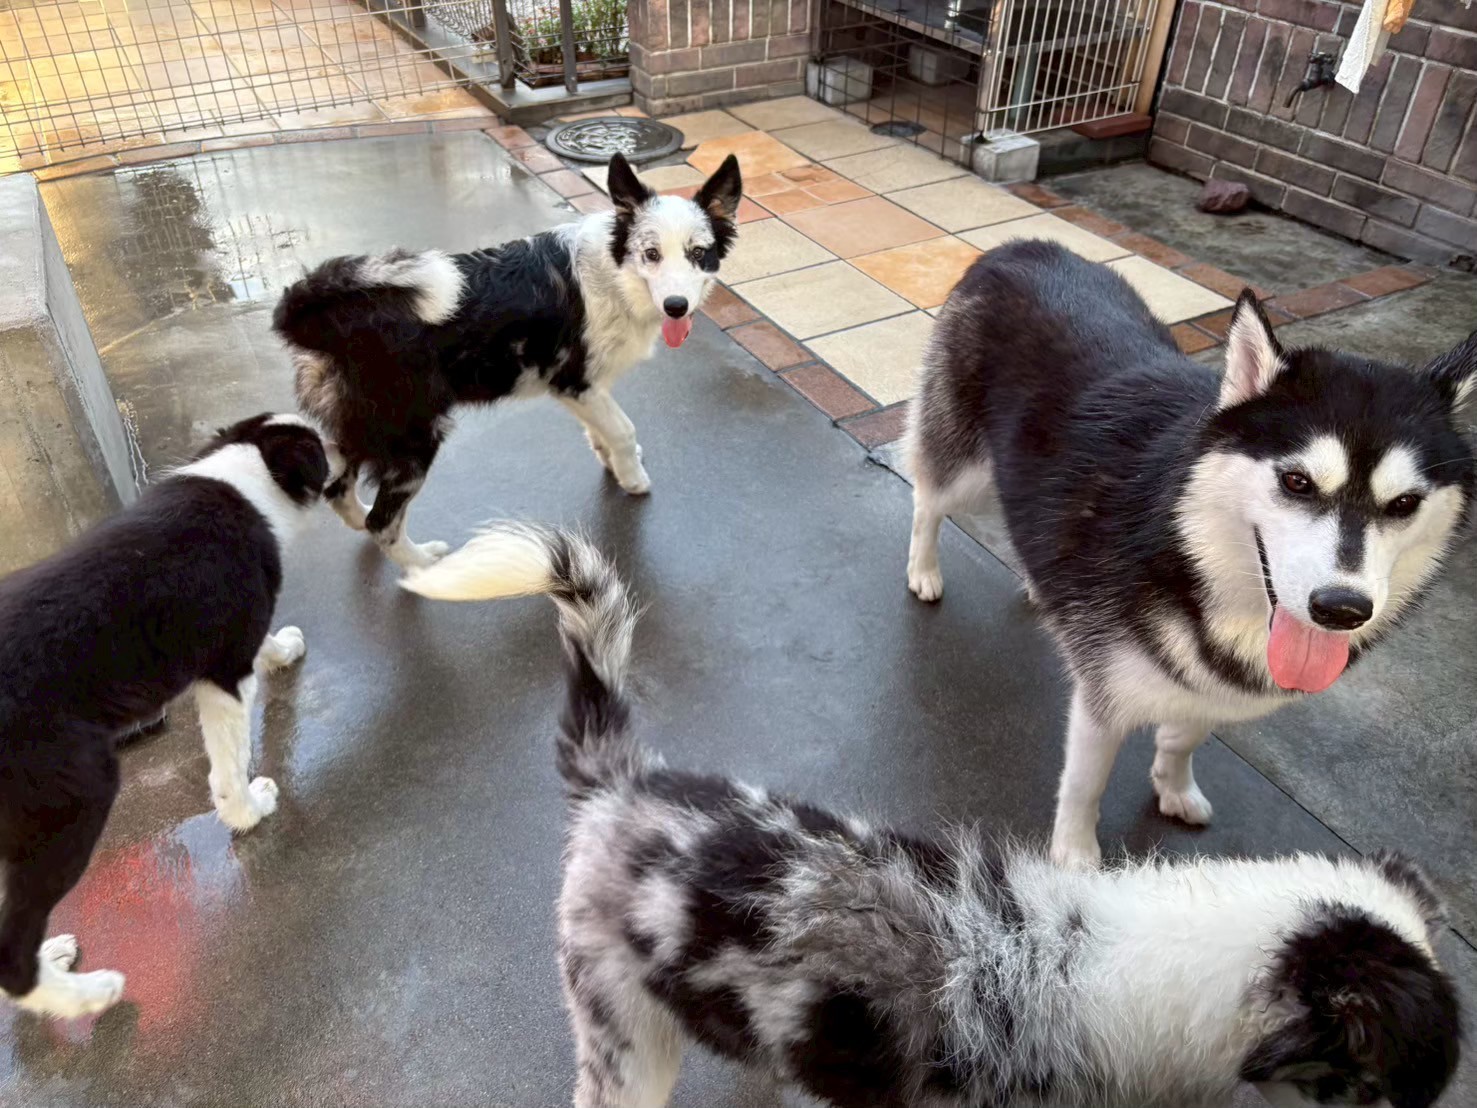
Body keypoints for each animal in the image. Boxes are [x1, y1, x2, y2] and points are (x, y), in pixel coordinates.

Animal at [0, 413, 326, 1019]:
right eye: (319, 445)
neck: (241, 476)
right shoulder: (224, 671)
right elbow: (228, 769)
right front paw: (248, 812)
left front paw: (281, 650)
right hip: (72, 800)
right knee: (11, 952)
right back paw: (87, 996)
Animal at [272, 151, 743, 572]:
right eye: (651, 254)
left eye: (698, 253)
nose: (677, 306)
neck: (614, 274)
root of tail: (326, 311)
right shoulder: (576, 380)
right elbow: (624, 430)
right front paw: (632, 478)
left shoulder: (576, 388)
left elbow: (603, 430)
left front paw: (611, 461)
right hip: (414, 440)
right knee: (383, 523)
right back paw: (422, 565)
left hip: (363, 426)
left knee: (338, 490)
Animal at [905, 240, 1477, 868]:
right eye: (1297, 481)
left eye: (1404, 503)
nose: (1341, 608)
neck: (1183, 543)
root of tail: (1024, 246)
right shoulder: (1104, 695)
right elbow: (1087, 780)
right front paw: (1076, 855)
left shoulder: (1211, 690)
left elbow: (1185, 735)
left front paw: (1174, 786)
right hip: (968, 471)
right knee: (927, 500)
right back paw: (923, 571)